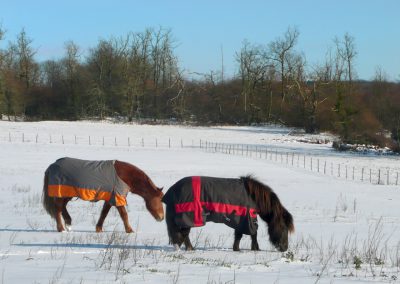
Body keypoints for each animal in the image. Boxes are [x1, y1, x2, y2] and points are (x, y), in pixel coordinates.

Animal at [162, 175, 294, 251]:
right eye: (284, 228)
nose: (285, 248)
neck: (253, 197)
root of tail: (172, 191)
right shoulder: (247, 218)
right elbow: (252, 234)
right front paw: (253, 249)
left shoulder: (241, 218)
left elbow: (240, 235)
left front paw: (239, 248)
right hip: (189, 218)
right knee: (185, 234)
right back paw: (190, 249)